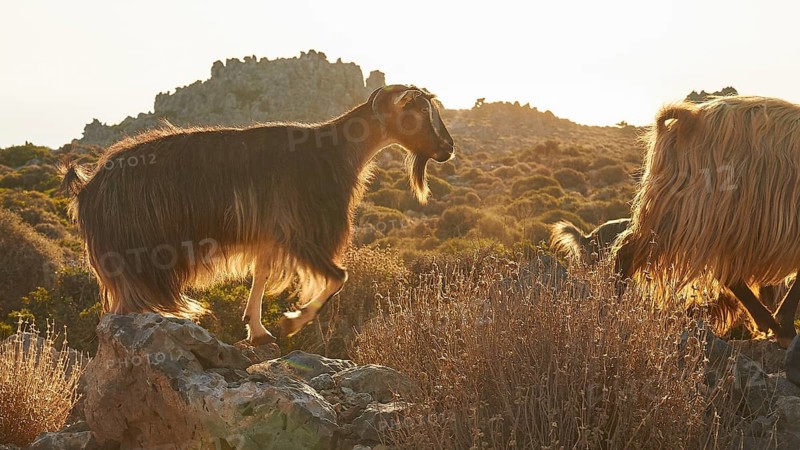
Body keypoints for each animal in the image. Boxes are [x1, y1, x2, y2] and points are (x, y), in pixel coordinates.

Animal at [61, 84, 455, 344]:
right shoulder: (301, 231)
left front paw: (258, 329)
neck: (335, 151)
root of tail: (88, 187)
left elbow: (262, 274)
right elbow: (338, 277)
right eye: (418, 112)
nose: (448, 148)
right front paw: (292, 322)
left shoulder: (271, 233)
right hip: (135, 256)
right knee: (122, 309)